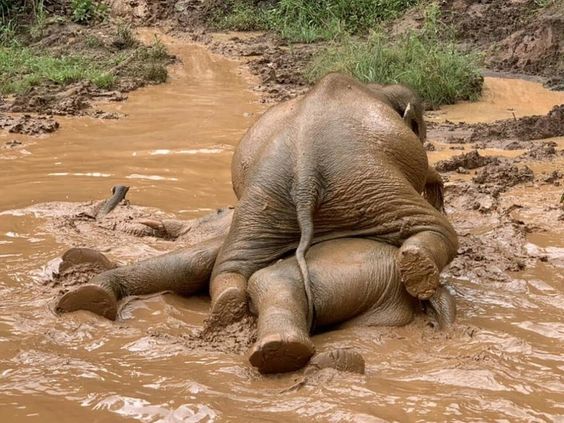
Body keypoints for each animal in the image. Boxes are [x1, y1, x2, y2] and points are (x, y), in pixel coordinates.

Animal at [55, 209, 456, 374]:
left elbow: (191, 263)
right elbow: (190, 268)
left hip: (359, 265)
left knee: (272, 280)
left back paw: (282, 354)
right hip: (379, 297)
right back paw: (338, 363)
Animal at [209, 72, 456, 328]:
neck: (378, 88)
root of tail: (305, 174)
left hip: (264, 197)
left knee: (231, 265)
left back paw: (228, 305)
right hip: (365, 180)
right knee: (438, 229)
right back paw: (418, 266)